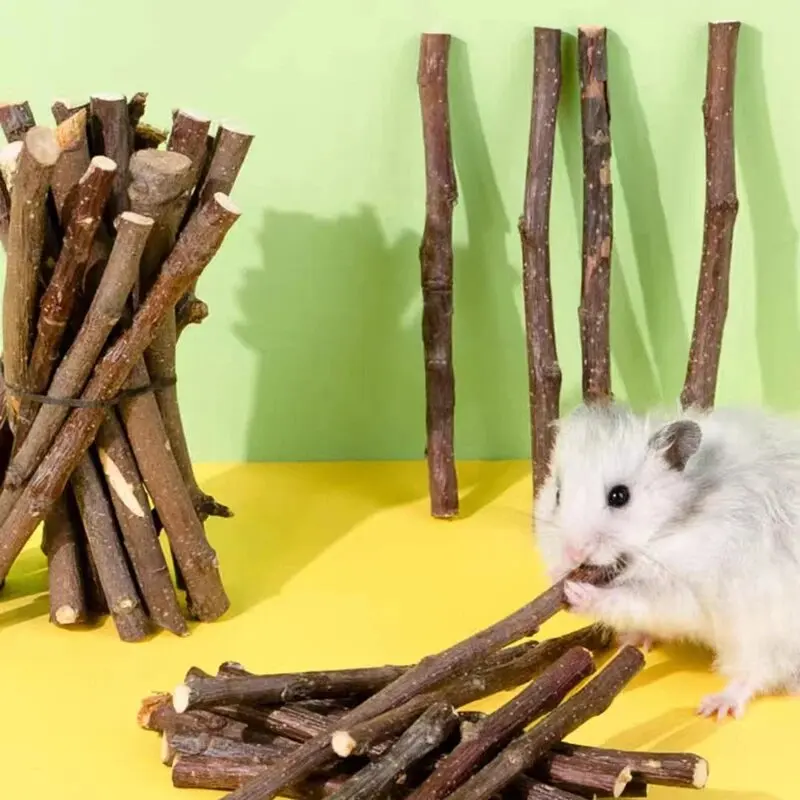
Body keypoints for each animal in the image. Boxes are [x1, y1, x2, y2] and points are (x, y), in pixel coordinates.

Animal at [534, 399, 800, 720]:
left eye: (619, 496)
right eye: (558, 494)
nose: (573, 553)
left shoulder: (688, 586)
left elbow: (635, 599)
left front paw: (577, 593)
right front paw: (559, 576)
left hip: (761, 634)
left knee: (754, 674)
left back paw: (715, 706)